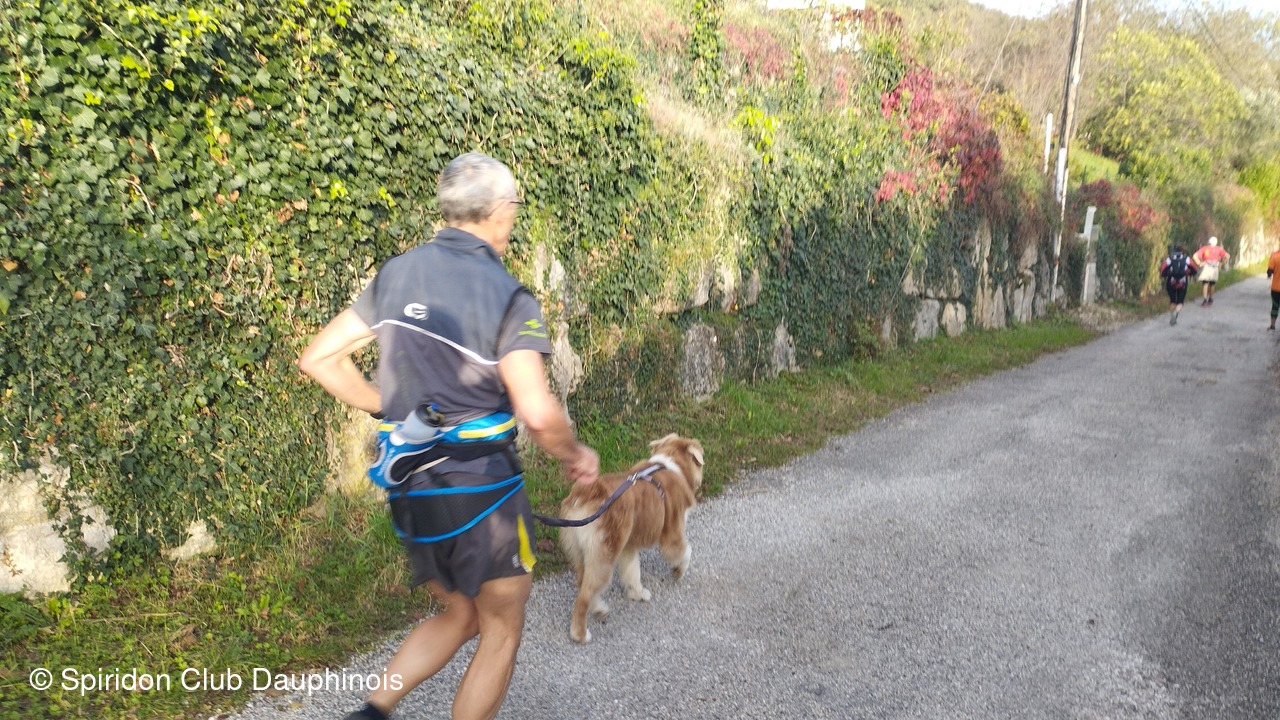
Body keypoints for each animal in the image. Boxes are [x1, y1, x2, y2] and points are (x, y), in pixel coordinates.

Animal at [558, 433, 705, 644]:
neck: (672, 464)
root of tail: (585, 494)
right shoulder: (672, 534)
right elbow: (685, 551)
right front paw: (678, 571)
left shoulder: (628, 546)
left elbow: (632, 571)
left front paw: (638, 594)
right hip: (603, 554)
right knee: (584, 595)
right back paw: (580, 634)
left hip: (580, 549)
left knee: (582, 582)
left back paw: (599, 608)